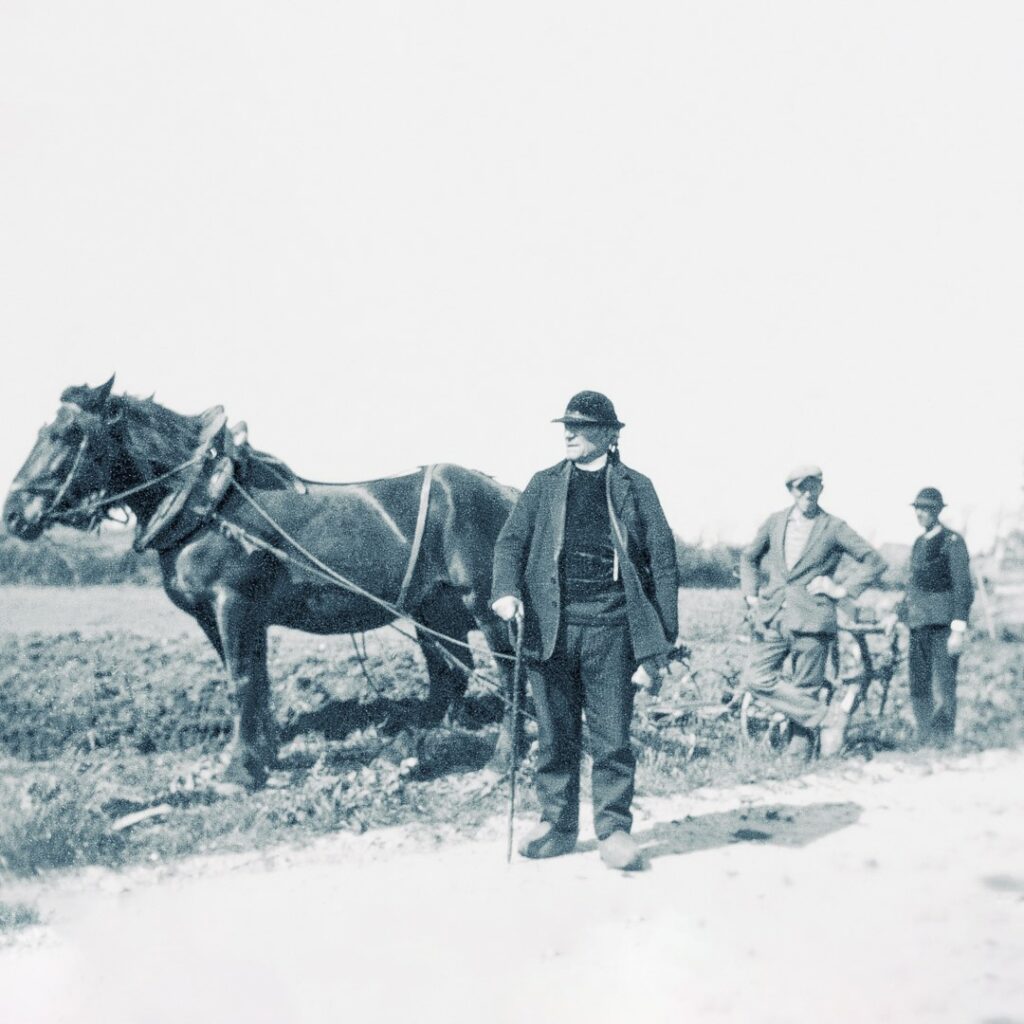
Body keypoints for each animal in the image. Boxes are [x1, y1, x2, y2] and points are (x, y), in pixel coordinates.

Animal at [4, 380, 520, 786]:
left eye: (66, 434)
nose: (13, 514)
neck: (206, 504)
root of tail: (509, 493)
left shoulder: (234, 603)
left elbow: (243, 679)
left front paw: (241, 770)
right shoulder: (215, 615)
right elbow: (255, 680)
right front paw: (264, 756)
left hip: (486, 608)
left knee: (507, 673)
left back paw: (500, 760)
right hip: (435, 611)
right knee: (449, 677)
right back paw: (413, 749)